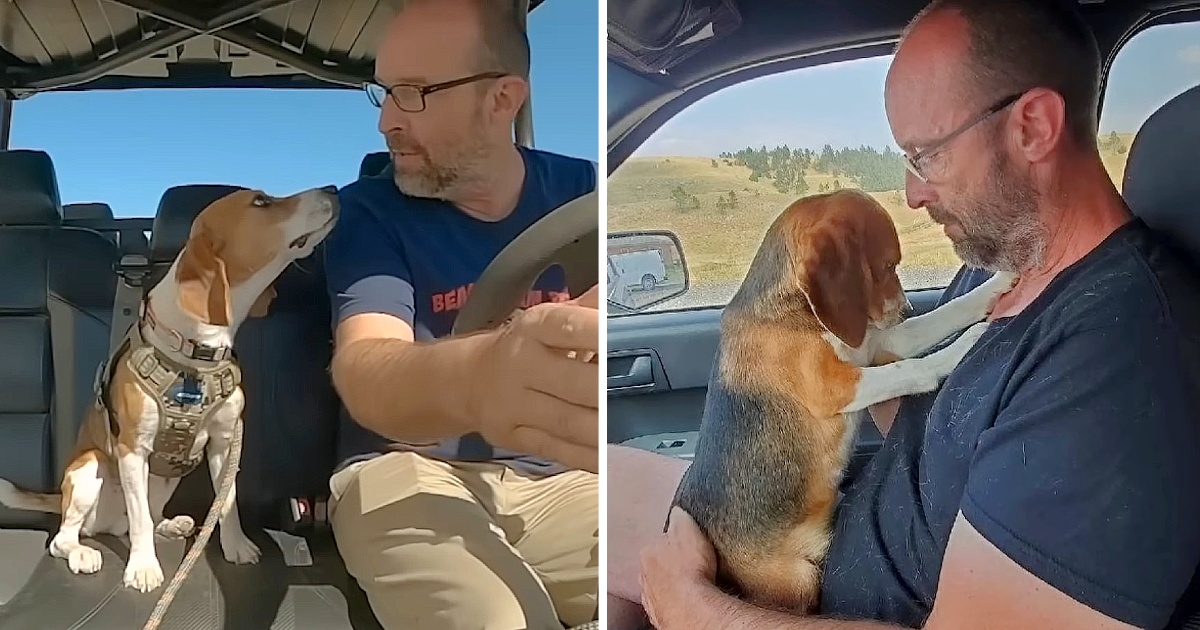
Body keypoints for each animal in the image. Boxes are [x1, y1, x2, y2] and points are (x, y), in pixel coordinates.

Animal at [0, 187, 340, 590]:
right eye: (261, 202)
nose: (333, 189)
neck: (195, 352)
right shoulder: (133, 450)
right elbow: (140, 519)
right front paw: (143, 568)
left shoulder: (225, 443)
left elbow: (226, 503)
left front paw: (236, 547)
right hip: (90, 468)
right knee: (71, 536)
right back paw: (84, 552)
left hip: (163, 481)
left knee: (137, 521)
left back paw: (172, 525)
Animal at [672, 189, 1017, 612]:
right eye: (886, 266)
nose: (906, 309)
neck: (798, 310)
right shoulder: (835, 385)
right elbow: (909, 370)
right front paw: (962, 348)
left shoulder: (883, 342)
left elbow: (947, 313)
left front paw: (997, 283)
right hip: (799, 578)